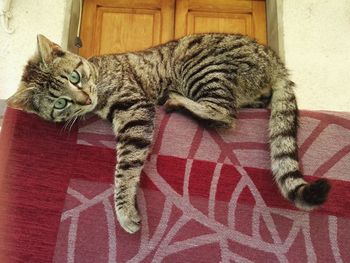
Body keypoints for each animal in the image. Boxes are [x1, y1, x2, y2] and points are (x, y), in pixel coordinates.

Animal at [8, 34, 330, 234]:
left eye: (75, 77)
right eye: (60, 102)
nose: (85, 98)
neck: (99, 74)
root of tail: (276, 62)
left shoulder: (134, 108)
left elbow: (125, 168)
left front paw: (124, 210)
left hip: (199, 65)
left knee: (225, 115)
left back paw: (177, 100)